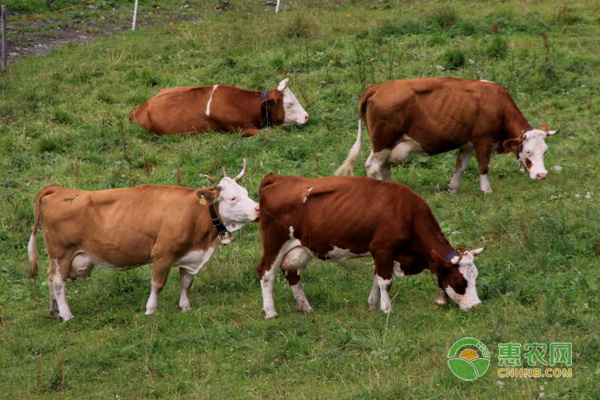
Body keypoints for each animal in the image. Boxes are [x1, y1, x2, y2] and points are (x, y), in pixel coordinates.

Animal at [27, 161, 258, 320]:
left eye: (246, 192)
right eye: (232, 198)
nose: (258, 209)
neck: (194, 214)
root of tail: (60, 189)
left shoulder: (191, 254)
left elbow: (186, 283)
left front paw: (185, 306)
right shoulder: (163, 253)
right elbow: (157, 283)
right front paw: (150, 309)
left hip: (58, 257)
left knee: (50, 278)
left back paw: (55, 311)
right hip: (62, 253)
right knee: (59, 282)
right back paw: (67, 315)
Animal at [255, 175, 486, 318]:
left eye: (475, 277)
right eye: (460, 281)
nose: (477, 306)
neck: (407, 213)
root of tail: (277, 177)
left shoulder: (383, 253)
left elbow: (376, 278)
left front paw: (374, 304)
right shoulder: (383, 249)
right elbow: (385, 281)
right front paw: (387, 309)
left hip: (297, 249)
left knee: (292, 275)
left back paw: (306, 308)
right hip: (275, 242)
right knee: (266, 273)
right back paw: (270, 312)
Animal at [336, 77, 560, 194]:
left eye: (545, 151)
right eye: (528, 152)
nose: (542, 175)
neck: (497, 104)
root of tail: (377, 88)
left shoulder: (467, 144)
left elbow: (460, 166)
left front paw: (453, 188)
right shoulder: (483, 140)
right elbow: (483, 166)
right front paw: (486, 189)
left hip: (387, 144)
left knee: (383, 166)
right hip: (383, 141)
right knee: (373, 166)